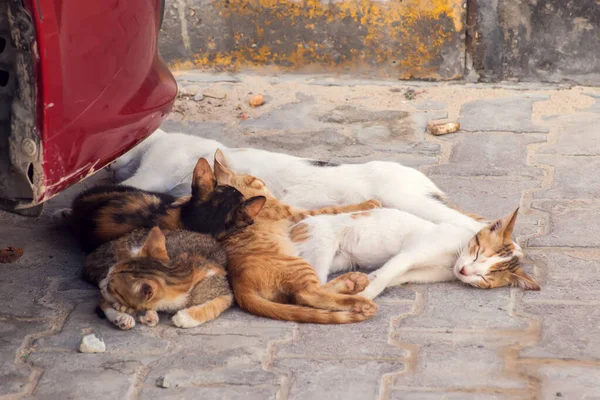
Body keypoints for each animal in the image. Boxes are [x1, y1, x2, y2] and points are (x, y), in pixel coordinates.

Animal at [87, 227, 237, 330]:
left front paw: (186, 318)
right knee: (102, 301)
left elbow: (214, 305)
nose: (101, 285)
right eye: (108, 276)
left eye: (110, 288)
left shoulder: (226, 293)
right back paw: (122, 317)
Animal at [211, 150, 380, 324]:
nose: (264, 183)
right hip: (299, 265)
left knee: (302, 296)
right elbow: (331, 209)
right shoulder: (295, 214)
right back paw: (359, 301)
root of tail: (239, 285)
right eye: (254, 179)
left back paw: (353, 282)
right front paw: (367, 204)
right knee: (308, 295)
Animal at [290, 206, 540, 300]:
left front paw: (365, 286)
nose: (464, 271)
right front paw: (364, 294)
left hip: (340, 260)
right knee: (310, 287)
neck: (451, 259)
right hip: (321, 247)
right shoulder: (411, 252)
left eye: (484, 278)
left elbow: (391, 276)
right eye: (478, 252)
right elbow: (390, 270)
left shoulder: (421, 272)